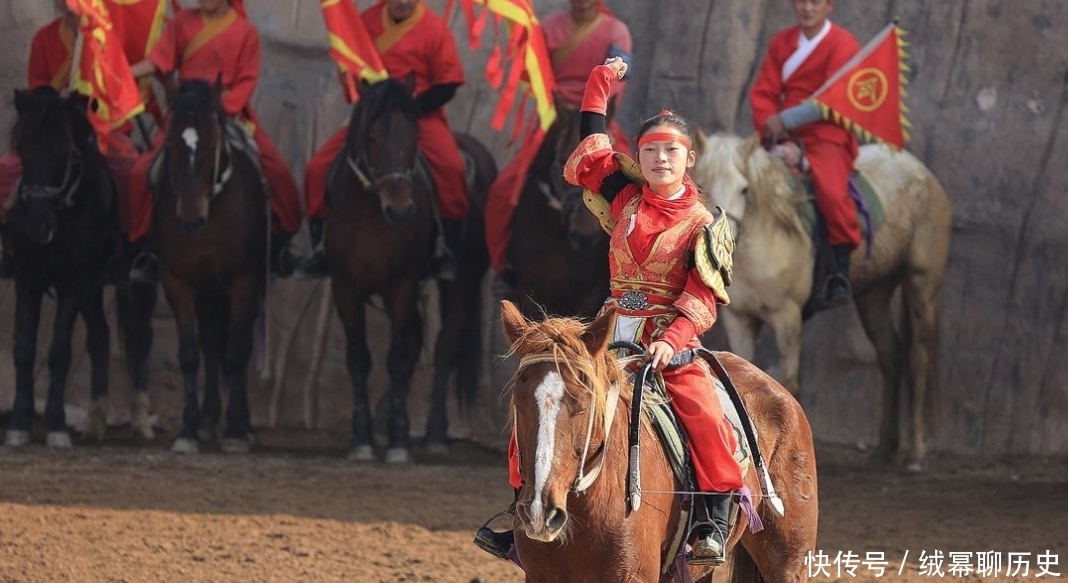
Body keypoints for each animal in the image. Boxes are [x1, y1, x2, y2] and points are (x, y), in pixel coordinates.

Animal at [2, 87, 120, 444]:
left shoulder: (74, 281)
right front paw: (19, 421)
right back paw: (96, 422)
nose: (37, 226)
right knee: (100, 336)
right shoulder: (28, 277)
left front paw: (55, 424)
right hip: (92, 291)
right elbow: (25, 348)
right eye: (23, 149)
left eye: (64, 153)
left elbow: (59, 351)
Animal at [149, 78, 267, 448]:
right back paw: (206, 420)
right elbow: (190, 354)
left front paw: (237, 429)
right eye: (170, 143)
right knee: (211, 345)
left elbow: (237, 350)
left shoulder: (243, 280)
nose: (189, 219)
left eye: (212, 143)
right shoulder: (178, 281)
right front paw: (188, 428)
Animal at [324, 76, 495, 461]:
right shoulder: (345, 286)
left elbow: (399, 358)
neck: (370, 215)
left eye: (413, 135)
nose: (400, 208)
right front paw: (362, 437)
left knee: (445, 345)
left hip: (461, 278)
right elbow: (359, 358)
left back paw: (434, 432)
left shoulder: (401, 283)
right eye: (371, 136)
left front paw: (399, 440)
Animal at [692, 131, 952, 467]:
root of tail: (916, 168)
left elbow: (788, 382)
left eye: (744, 188)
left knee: (919, 358)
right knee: (890, 355)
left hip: (921, 283)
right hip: (875, 294)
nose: (721, 241)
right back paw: (884, 448)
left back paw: (917, 453)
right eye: (701, 184)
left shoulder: (787, 316)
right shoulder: (741, 319)